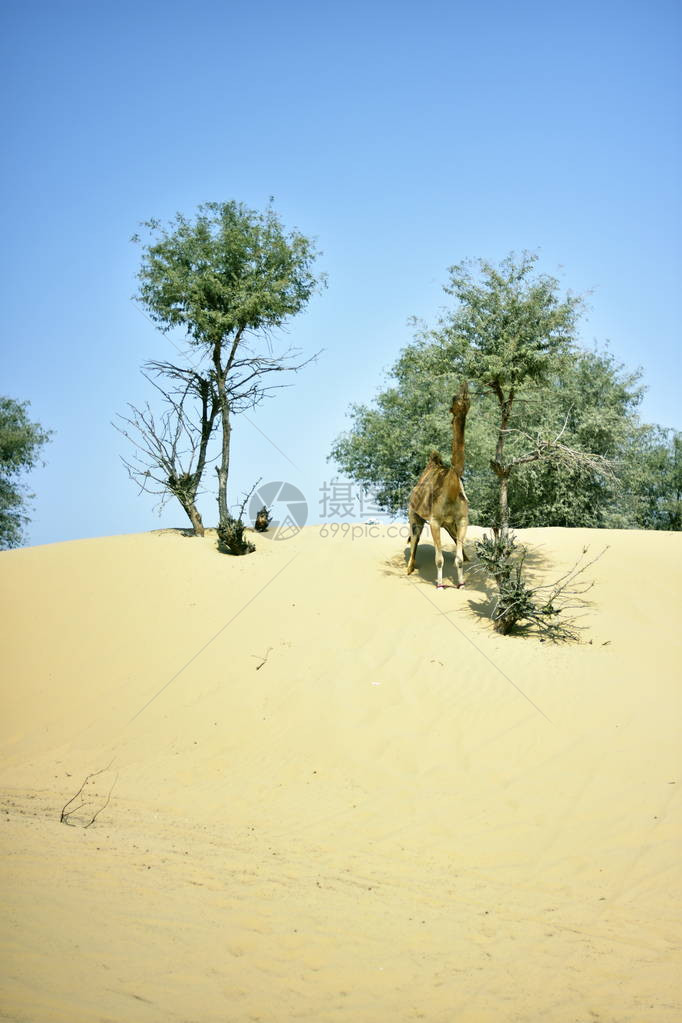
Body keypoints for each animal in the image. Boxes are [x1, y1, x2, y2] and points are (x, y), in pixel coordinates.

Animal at [404, 382, 470, 593]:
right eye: (453, 402)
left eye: (468, 400)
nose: (464, 396)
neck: (451, 488)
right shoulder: (434, 521)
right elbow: (439, 559)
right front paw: (440, 585)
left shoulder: (462, 519)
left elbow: (458, 558)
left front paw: (461, 584)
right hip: (413, 514)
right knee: (414, 537)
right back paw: (409, 568)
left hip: (449, 524)